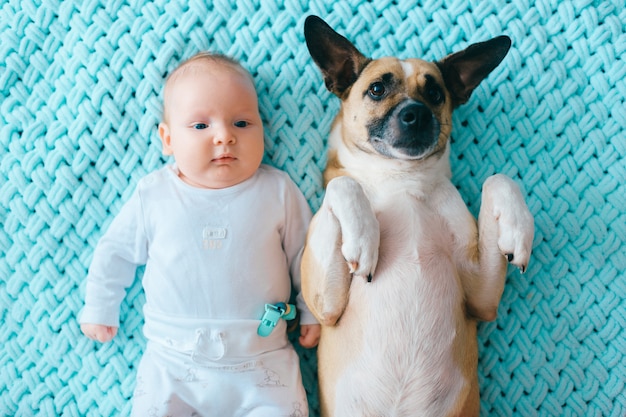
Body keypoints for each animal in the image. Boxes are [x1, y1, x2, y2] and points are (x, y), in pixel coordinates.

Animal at [300, 14, 532, 414]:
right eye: (377, 89)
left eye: (436, 94)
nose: (416, 114)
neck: (401, 180)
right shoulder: (325, 308)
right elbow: (343, 184)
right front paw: (364, 236)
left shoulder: (482, 299)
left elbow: (498, 177)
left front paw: (517, 227)